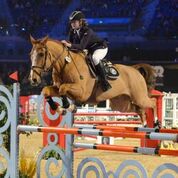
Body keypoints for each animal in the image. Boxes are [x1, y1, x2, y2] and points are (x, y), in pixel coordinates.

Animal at [29, 35, 159, 126]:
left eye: (41, 54)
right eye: (31, 54)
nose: (33, 79)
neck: (65, 64)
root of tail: (135, 70)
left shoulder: (82, 93)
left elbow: (62, 89)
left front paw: (68, 107)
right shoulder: (59, 88)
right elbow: (46, 91)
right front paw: (60, 110)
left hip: (139, 97)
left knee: (152, 102)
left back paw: (156, 123)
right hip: (122, 105)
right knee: (138, 109)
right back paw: (144, 123)